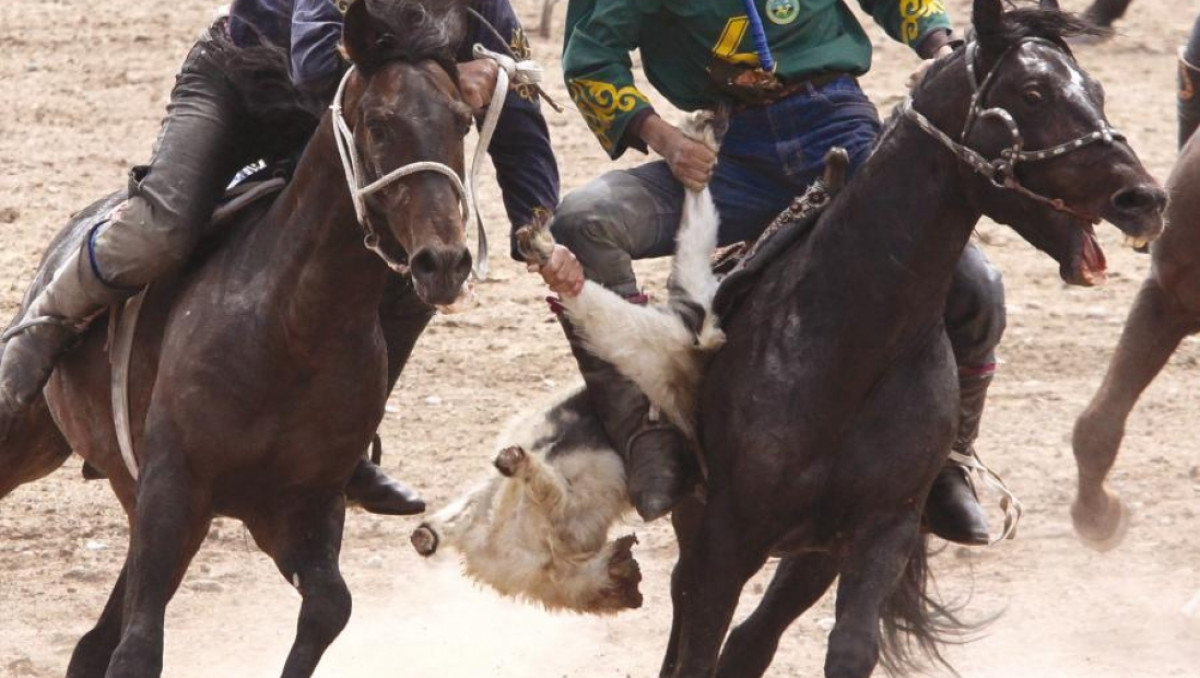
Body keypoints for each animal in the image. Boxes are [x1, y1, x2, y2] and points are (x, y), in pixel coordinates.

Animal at [0, 2, 472, 672]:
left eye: (462, 120)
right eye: (379, 125)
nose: (444, 262)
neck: (291, 330)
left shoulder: (298, 509)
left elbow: (329, 607)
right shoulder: (174, 490)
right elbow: (139, 650)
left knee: (92, 644)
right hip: (35, 439)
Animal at [662, 2, 1166, 672]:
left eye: (1098, 90)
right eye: (1032, 93)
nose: (1145, 198)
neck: (848, 350)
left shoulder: (884, 529)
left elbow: (850, 648)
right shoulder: (726, 539)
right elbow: (696, 648)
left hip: (814, 556)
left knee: (751, 642)